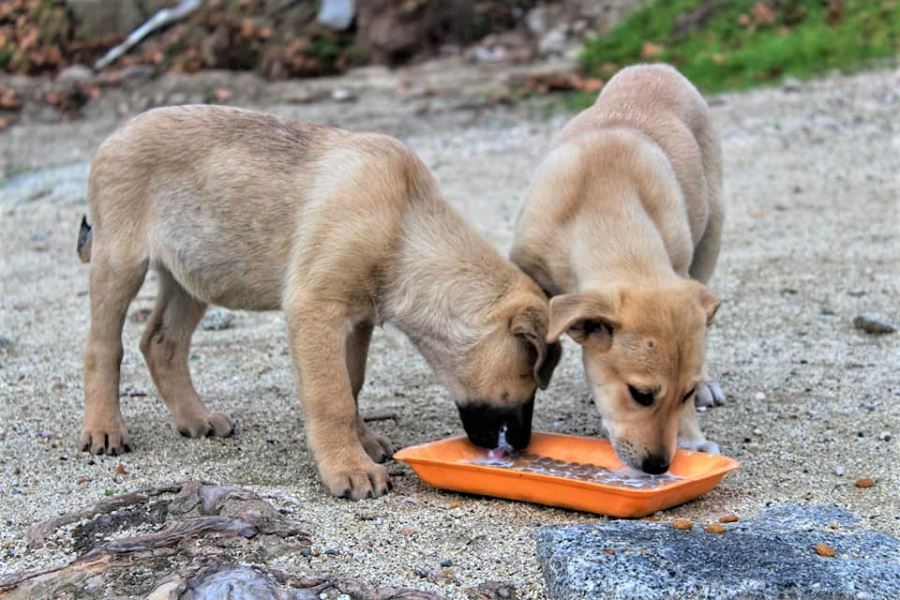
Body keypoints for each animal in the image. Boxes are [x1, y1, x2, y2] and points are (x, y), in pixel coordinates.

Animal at [77, 105, 560, 500]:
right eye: (528, 375)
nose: (522, 445)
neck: (402, 226)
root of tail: (117, 132)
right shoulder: (316, 309)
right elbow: (332, 396)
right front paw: (349, 467)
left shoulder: (356, 321)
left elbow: (351, 383)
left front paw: (361, 443)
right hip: (119, 263)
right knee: (104, 347)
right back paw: (104, 428)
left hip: (193, 276)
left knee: (162, 342)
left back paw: (194, 417)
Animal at [512, 62, 724, 474]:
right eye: (640, 394)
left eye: (685, 392)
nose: (659, 467)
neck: (605, 201)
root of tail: (655, 66)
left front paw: (692, 437)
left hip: (711, 235)